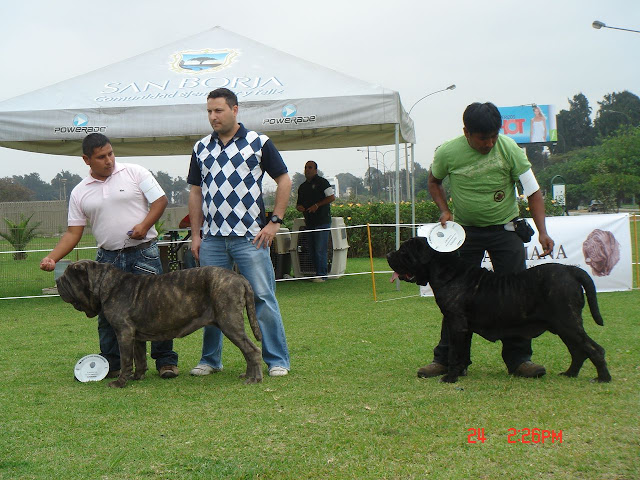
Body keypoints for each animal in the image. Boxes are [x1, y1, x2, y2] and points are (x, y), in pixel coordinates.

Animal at [57, 260, 262, 388]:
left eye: (67, 278)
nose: (57, 280)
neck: (106, 284)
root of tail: (239, 278)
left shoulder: (124, 333)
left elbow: (125, 360)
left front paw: (120, 382)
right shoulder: (136, 336)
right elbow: (139, 358)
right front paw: (137, 377)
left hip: (229, 322)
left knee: (252, 350)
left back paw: (255, 379)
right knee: (247, 351)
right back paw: (247, 375)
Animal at [388, 236, 612, 382]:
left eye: (404, 252)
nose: (389, 254)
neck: (448, 272)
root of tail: (571, 270)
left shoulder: (456, 324)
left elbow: (454, 353)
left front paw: (450, 378)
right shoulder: (463, 328)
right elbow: (461, 352)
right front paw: (458, 373)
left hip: (568, 322)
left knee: (594, 349)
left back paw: (603, 378)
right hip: (562, 326)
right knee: (578, 351)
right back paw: (570, 374)